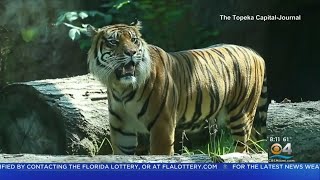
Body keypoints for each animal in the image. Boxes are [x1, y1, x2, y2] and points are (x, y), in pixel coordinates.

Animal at [86, 21, 268, 155]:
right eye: (113, 42)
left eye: (134, 40)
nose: (132, 52)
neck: (122, 88)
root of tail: (254, 52)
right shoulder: (122, 131)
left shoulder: (162, 126)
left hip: (241, 115)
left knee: (243, 147)